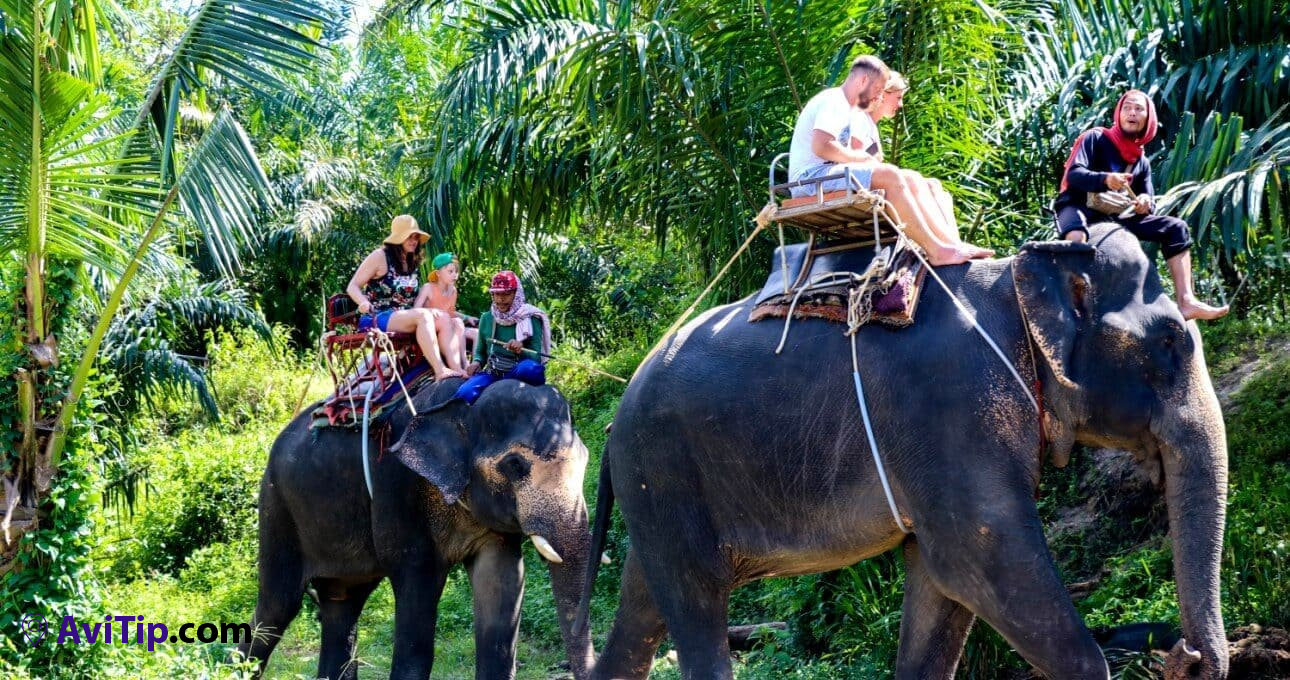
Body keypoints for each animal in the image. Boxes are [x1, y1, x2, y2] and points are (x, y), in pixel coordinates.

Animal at [239, 379, 595, 676]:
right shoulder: (396, 488)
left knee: (342, 604)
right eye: (515, 465)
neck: (459, 404)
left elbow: (501, 585)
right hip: (276, 506)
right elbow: (417, 585)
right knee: (277, 606)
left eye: (586, 458)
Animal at [585, 224, 1228, 680]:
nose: (1184, 654)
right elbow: (977, 561)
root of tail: (613, 424)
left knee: (643, 602)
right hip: (665, 472)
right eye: (1171, 341)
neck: (1019, 275)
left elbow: (941, 586)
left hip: (655, 496)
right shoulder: (955, 408)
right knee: (695, 606)